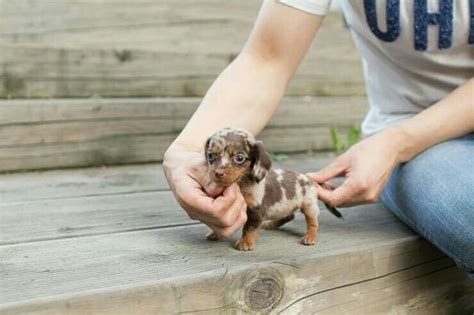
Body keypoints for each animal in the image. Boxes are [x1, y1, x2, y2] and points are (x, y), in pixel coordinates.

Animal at [204, 127, 340, 251]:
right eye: (210, 155)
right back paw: (271, 224)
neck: (242, 185)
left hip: (309, 205)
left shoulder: (256, 211)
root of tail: (309, 179)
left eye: (239, 158)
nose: (218, 173)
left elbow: (249, 228)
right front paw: (215, 233)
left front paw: (245, 243)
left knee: (313, 222)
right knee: (289, 216)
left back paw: (310, 237)